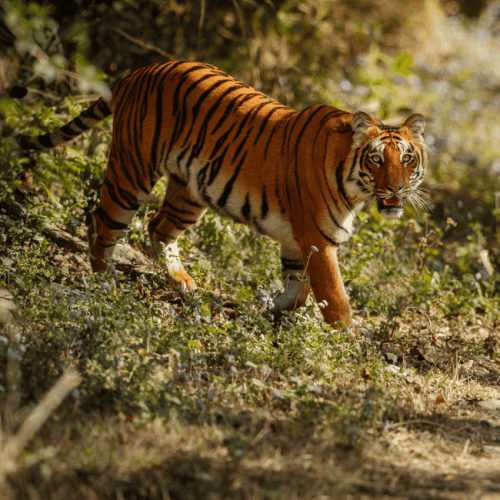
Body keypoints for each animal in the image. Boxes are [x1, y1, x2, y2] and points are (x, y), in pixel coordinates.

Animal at [17, 61, 428, 328]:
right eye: (376, 159)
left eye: (407, 159)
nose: (397, 187)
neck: (354, 187)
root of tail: (140, 71)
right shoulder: (317, 239)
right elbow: (336, 299)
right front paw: (348, 346)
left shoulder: (297, 241)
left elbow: (298, 291)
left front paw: (271, 313)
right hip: (131, 173)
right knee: (102, 228)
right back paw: (105, 286)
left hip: (190, 193)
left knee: (158, 227)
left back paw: (183, 284)